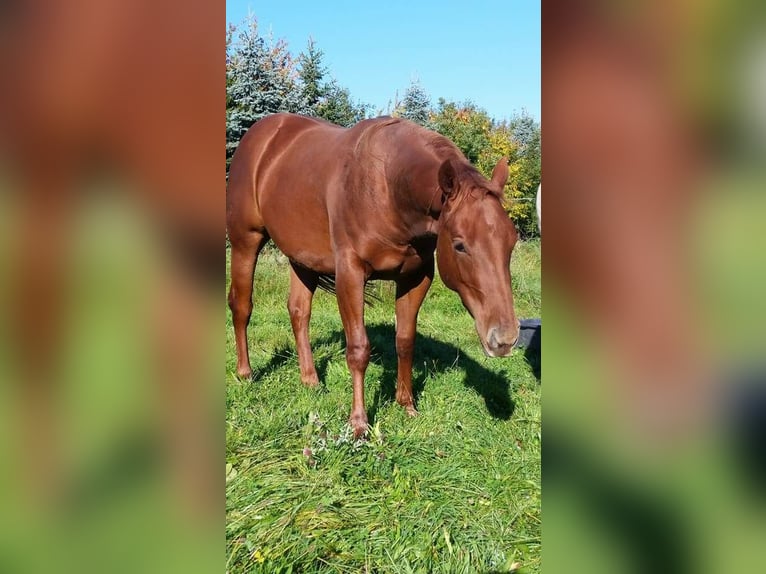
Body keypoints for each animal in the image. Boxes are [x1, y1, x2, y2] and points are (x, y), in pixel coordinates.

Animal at [225, 111, 520, 436]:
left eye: (512, 241)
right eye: (460, 245)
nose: (504, 339)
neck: (387, 187)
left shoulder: (416, 278)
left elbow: (405, 341)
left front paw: (407, 406)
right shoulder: (350, 274)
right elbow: (358, 349)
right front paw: (358, 423)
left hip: (302, 258)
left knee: (299, 312)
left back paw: (311, 380)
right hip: (246, 241)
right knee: (241, 305)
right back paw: (246, 373)